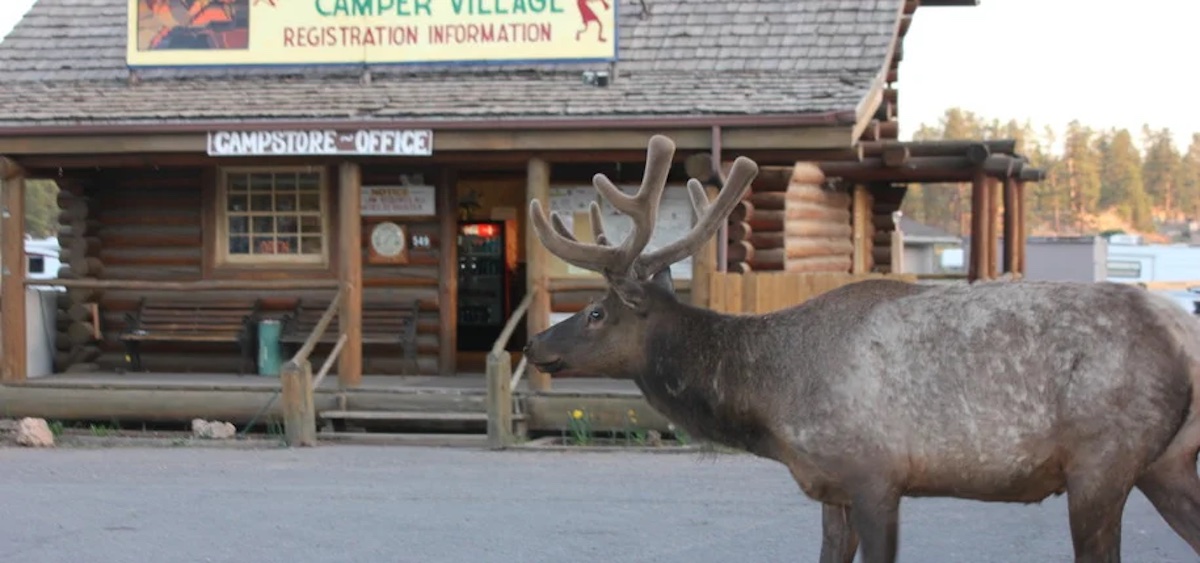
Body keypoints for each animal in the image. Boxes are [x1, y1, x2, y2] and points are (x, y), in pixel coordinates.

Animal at [528, 133, 1200, 559]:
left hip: (1102, 462)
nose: (535, 343)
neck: (772, 403)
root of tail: (1185, 336)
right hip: (1164, 465)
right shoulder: (833, 487)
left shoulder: (875, 473)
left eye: (595, 312)